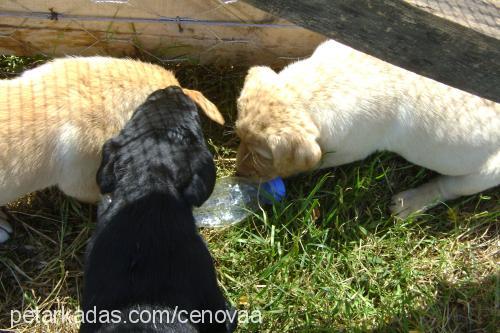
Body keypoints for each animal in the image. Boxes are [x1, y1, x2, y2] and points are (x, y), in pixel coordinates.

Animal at [235, 39, 500, 218]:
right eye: (239, 137)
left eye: (262, 156)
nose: (238, 173)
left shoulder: (347, 149)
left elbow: (315, 162)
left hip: (484, 174)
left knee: (448, 188)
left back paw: (410, 203)